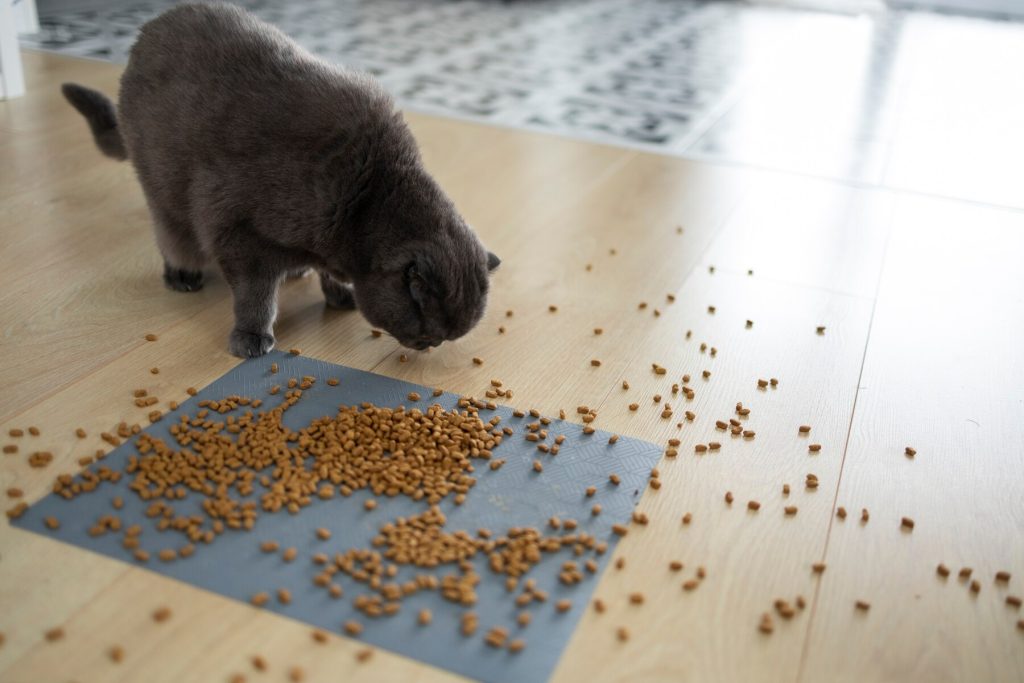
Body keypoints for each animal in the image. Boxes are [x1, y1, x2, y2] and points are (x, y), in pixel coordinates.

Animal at [59, 2, 499, 358]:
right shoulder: (236, 228)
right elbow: (255, 294)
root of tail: (150, 28)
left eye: (440, 338)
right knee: (172, 232)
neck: (364, 202)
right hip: (164, 187)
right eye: (426, 331)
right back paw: (183, 274)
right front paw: (252, 337)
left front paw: (339, 293)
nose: (428, 346)